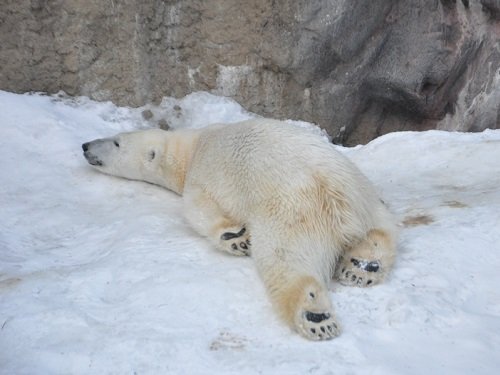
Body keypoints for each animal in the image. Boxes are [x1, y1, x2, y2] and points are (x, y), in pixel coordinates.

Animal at [82, 119, 398, 342]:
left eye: (116, 142)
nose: (85, 145)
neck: (192, 146)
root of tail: (336, 196)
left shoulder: (201, 176)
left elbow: (198, 210)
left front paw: (236, 238)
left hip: (292, 211)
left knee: (285, 259)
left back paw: (314, 315)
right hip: (366, 196)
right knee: (381, 231)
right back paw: (361, 267)